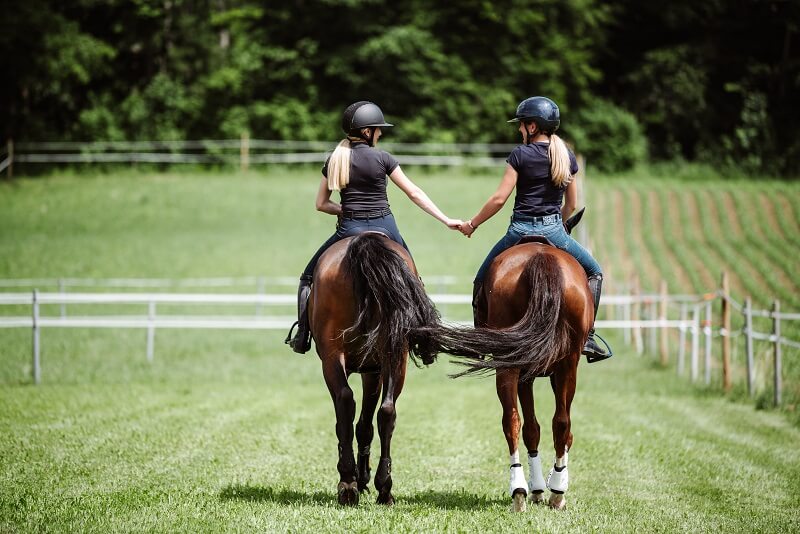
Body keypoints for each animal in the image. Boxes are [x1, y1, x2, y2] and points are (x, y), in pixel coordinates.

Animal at [310, 233, 440, 506]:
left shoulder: (369, 371)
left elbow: (358, 426)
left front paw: (360, 478)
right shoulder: (374, 369)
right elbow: (367, 424)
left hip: (332, 356)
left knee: (345, 401)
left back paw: (348, 483)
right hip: (396, 357)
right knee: (387, 411)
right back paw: (384, 487)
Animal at [424, 241, 592, 512]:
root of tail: (541, 258)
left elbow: (533, 428)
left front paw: (540, 487)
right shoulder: (532, 376)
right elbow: (536, 428)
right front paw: (541, 489)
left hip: (516, 362)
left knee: (518, 420)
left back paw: (522, 490)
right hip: (555, 365)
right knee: (552, 422)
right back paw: (551, 492)